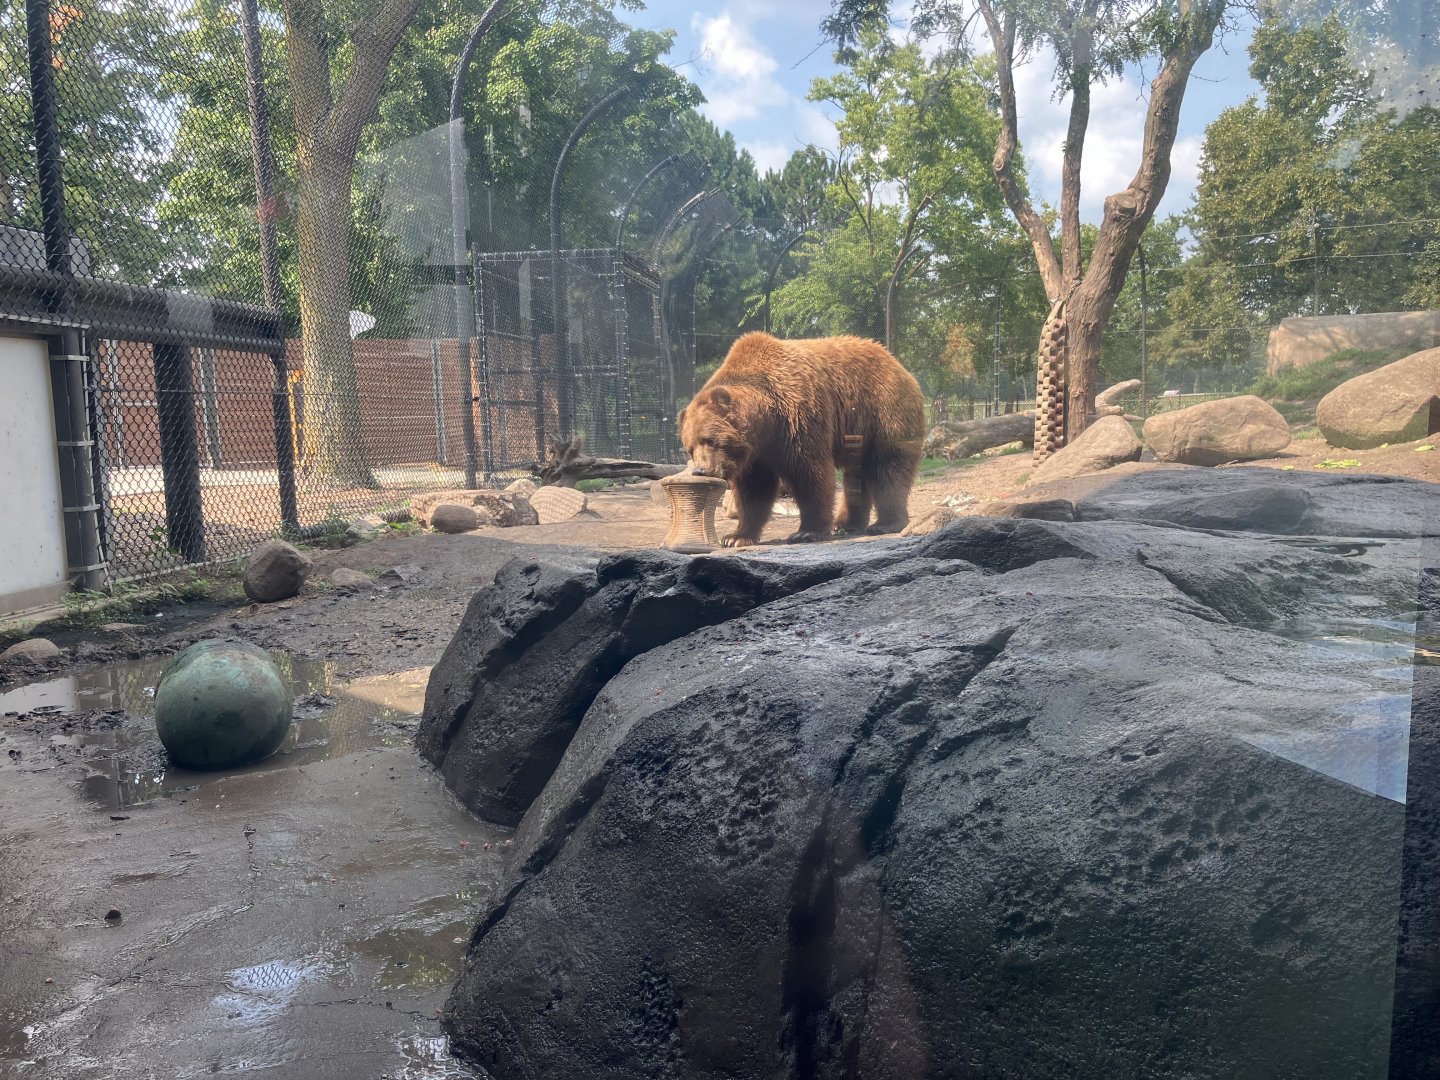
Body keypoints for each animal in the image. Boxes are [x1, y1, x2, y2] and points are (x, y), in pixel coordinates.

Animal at [679, 332, 926, 547]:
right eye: (689, 448)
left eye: (709, 439)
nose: (700, 470)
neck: (767, 419)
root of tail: (899, 365)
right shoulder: (758, 454)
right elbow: (754, 489)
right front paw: (736, 536)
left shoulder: (799, 420)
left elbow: (810, 473)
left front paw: (806, 532)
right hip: (857, 433)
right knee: (857, 475)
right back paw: (846, 524)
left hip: (882, 412)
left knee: (889, 467)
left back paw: (885, 523)